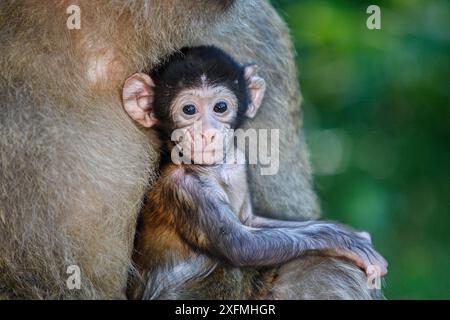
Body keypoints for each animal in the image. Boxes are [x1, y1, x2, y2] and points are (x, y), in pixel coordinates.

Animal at [122, 46, 386, 298]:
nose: (207, 133)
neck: (213, 169)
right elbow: (241, 246)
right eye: (189, 109)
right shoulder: (185, 187)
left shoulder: (237, 165)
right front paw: (346, 239)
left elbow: (250, 221)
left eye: (220, 107)